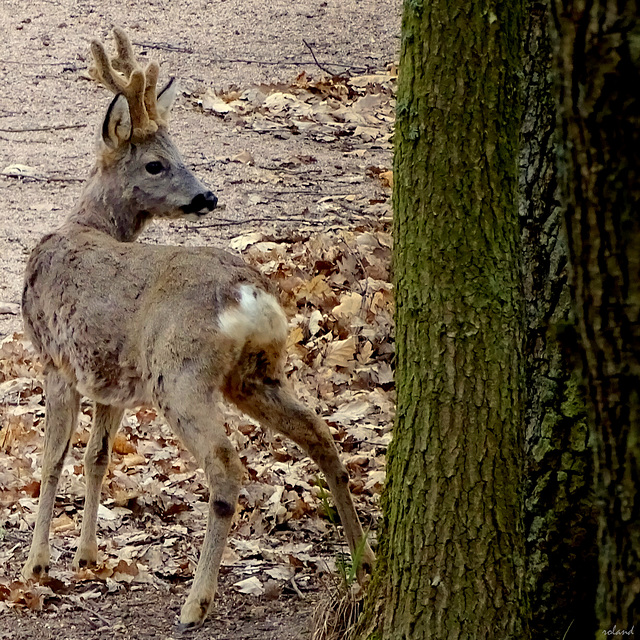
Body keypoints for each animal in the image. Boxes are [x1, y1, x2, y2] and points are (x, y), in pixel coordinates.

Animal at [21, 28, 376, 632]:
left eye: (174, 157)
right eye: (156, 165)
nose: (207, 196)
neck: (83, 227)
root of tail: (248, 293)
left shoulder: (55, 360)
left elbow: (52, 460)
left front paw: (36, 565)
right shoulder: (111, 380)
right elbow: (97, 459)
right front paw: (88, 555)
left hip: (182, 374)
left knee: (227, 465)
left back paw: (196, 602)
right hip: (256, 374)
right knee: (320, 436)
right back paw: (365, 559)